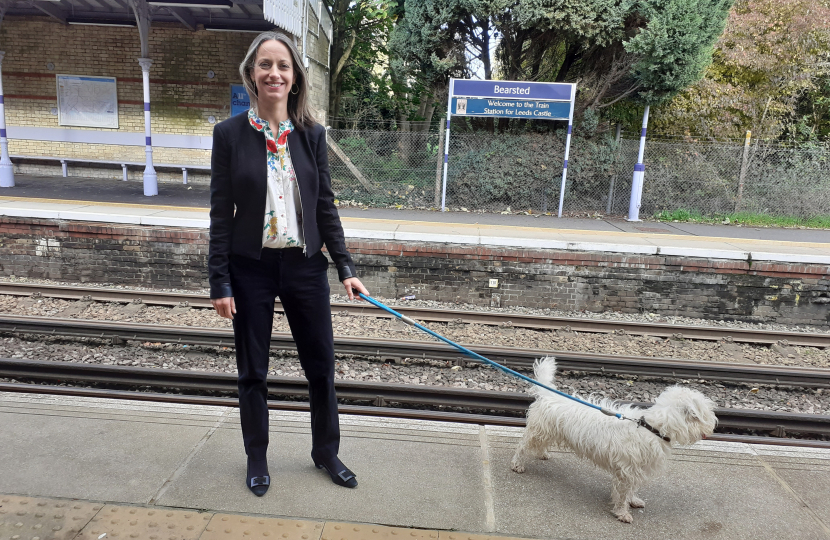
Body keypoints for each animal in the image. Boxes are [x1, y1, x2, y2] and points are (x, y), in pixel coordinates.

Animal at [510, 358, 720, 524]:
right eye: (706, 413)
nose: (713, 426)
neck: (652, 427)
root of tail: (549, 394)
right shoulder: (627, 471)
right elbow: (623, 493)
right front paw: (622, 512)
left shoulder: (636, 469)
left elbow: (631, 490)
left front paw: (633, 500)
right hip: (538, 431)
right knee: (522, 447)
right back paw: (517, 464)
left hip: (548, 432)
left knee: (539, 445)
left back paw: (542, 454)